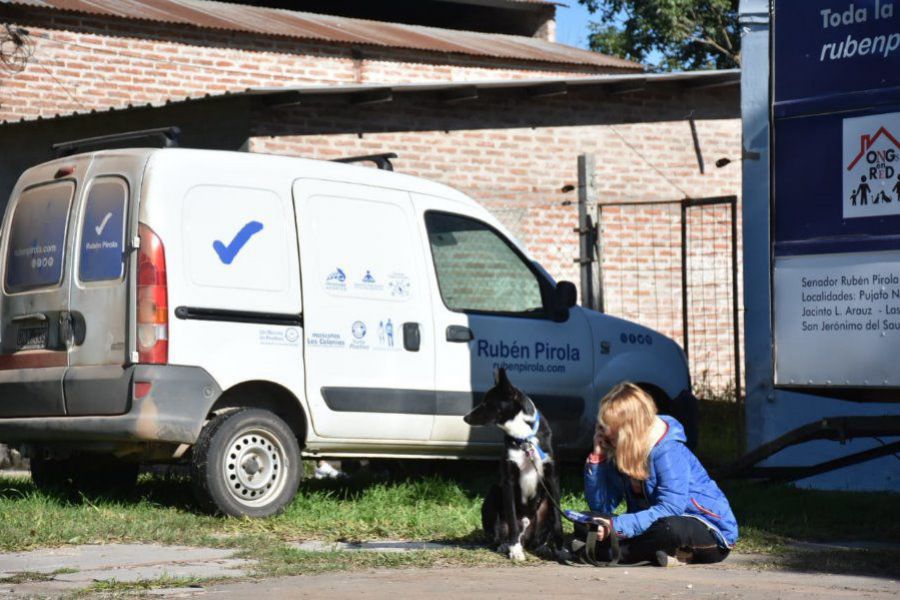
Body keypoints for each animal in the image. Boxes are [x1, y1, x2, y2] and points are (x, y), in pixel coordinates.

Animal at [464, 368, 564, 560]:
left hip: (544, 503)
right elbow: (511, 518)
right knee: (500, 533)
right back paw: (506, 545)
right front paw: (514, 549)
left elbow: (558, 519)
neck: (524, 437)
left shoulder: (552, 478)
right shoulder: (508, 481)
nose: (465, 417)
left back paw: (543, 547)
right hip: (494, 492)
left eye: (487, 402)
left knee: (540, 536)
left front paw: (562, 549)